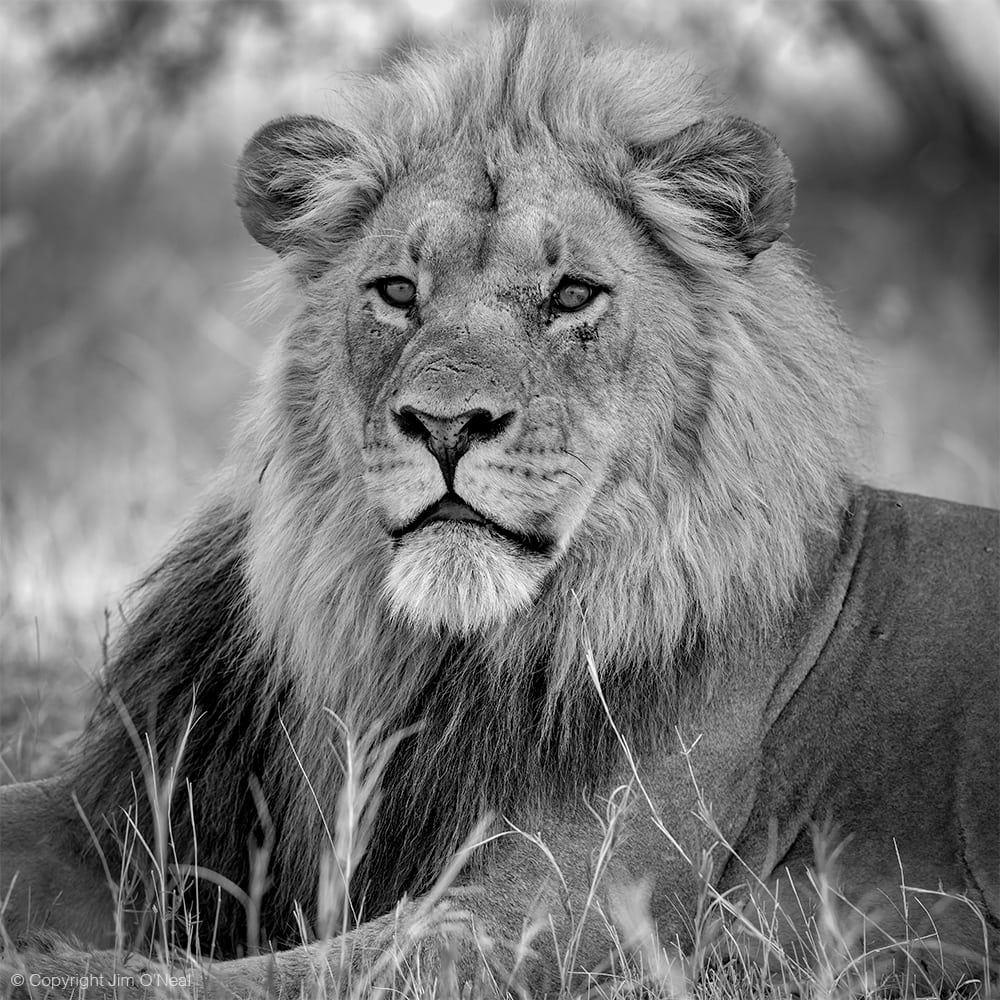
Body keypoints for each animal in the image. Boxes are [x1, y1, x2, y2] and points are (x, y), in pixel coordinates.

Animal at [1, 9, 1000, 1000]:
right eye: (398, 291)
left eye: (572, 294)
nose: (447, 425)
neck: (419, 658)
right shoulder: (130, 812)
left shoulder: (558, 908)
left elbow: (222, 980)